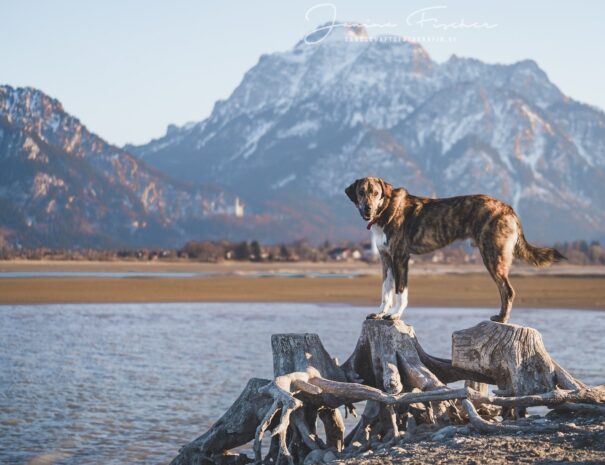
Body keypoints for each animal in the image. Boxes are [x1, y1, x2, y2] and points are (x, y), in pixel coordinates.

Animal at [346, 176, 564, 320]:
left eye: (376, 193)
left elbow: (400, 291)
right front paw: (381, 313)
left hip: (492, 257)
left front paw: (395, 315)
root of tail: (508, 208)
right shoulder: (386, 260)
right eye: (361, 192)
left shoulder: (400, 258)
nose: (367, 209)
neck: (386, 211)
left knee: (507, 291)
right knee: (505, 291)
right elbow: (386, 290)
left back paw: (502, 319)